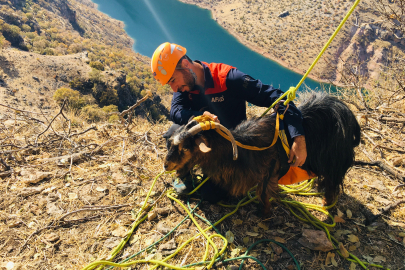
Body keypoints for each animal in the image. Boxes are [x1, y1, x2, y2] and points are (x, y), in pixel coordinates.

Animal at [163, 93, 360, 213]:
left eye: (186, 147)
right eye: (172, 143)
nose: (166, 165)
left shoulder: (269, 171)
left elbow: (263, 193)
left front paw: (263, 213)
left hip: (334, 162)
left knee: (332, 183)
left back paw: (327, 203)